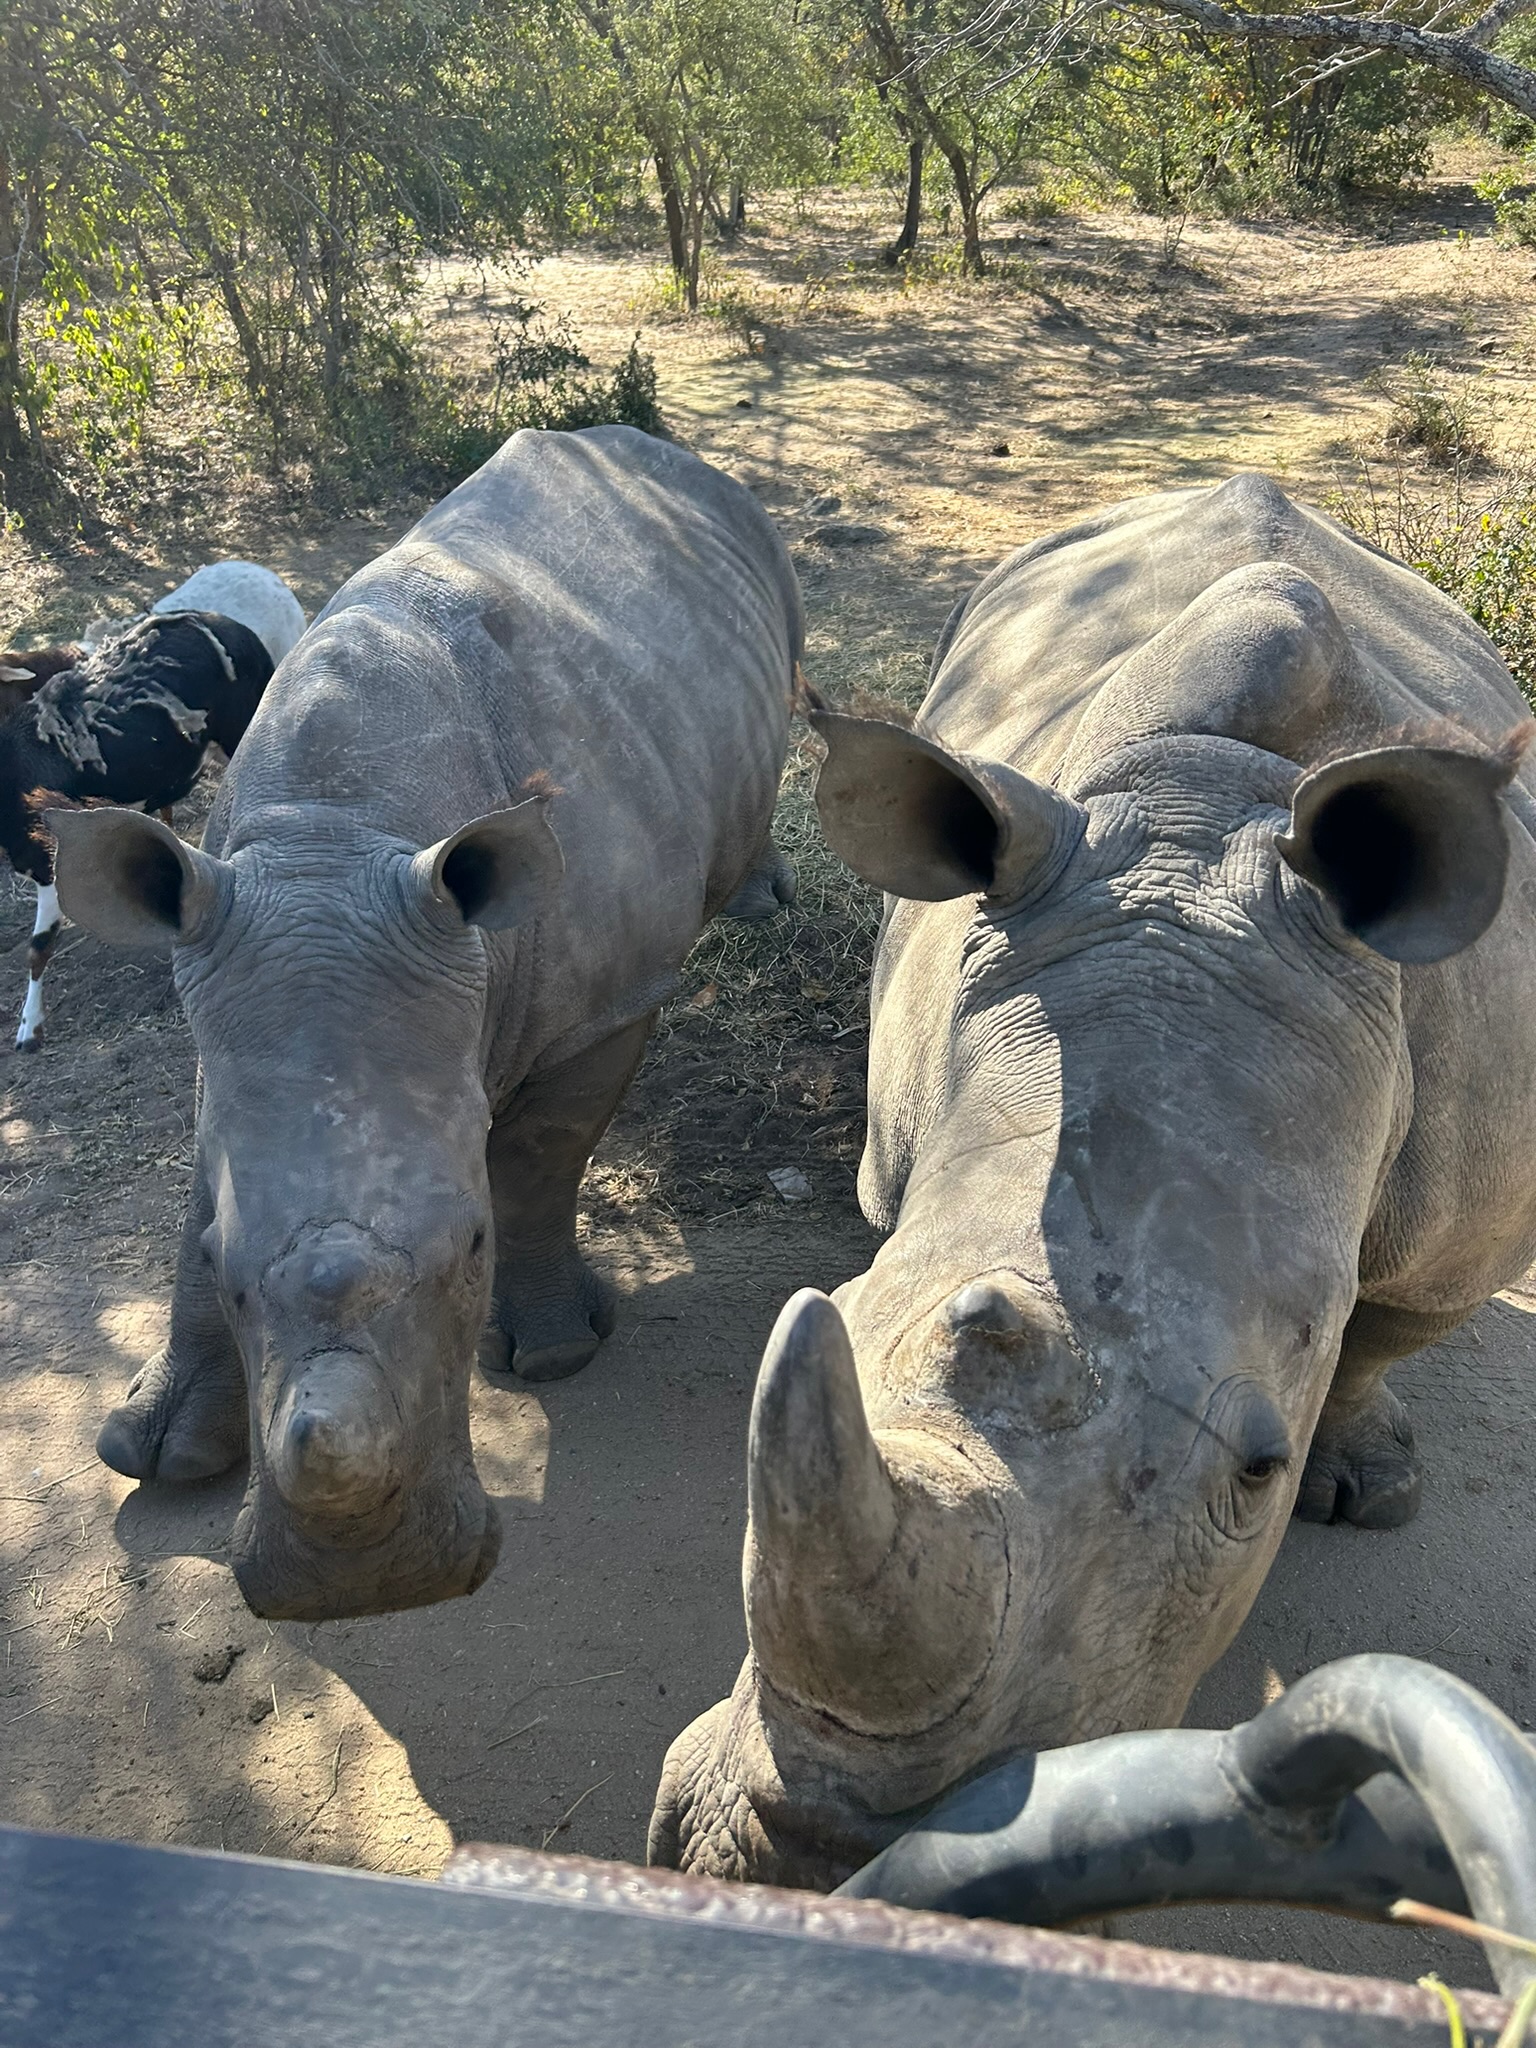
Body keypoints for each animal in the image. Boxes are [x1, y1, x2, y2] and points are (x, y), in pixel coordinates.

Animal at [52, 425, 801, 1621]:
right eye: (226, 1270)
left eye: (474, 1247)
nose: (364, 1587)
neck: (334, 841)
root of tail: (661, 448)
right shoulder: (229, 1016)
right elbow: (199, 1187)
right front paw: (156, 1448)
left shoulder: (608, 1002)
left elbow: (541, 1155)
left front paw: (549, 1357)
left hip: (759, 544)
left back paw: (762, 900)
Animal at [650, 473, 1536, 1888]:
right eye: (834, 1322)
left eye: (1258, 1469)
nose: (790, 1857)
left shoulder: (1470, 1230)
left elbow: (1389, 1327)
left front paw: (1362, 1489)